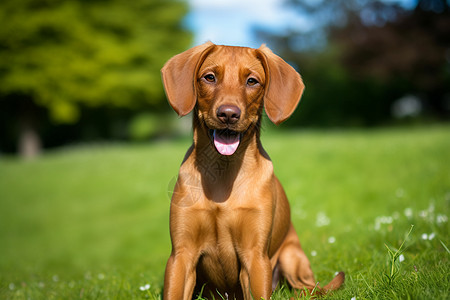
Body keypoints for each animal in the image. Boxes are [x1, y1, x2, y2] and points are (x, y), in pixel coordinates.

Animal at [162, 42, 344, 300]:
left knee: (305, 290)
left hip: (291, 258)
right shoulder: (181, 256)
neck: (223, 172)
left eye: (252, 81)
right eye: (209, 77)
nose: (228, 114)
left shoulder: (255, 257)